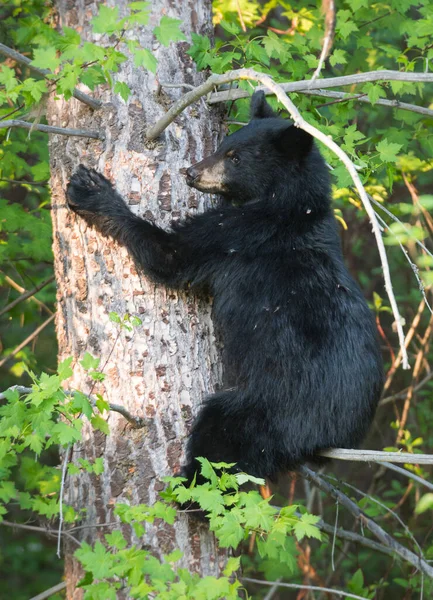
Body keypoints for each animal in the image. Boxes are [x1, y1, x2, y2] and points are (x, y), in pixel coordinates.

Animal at [66, 90, 384, 482]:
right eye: (223, 144)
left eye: (235, 158)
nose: (191, 172)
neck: (290, 206)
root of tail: (335, 437)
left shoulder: (238, 234)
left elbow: (171, 255)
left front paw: (93, 191)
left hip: (269, 410)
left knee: (221, 442)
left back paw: (185, 483)